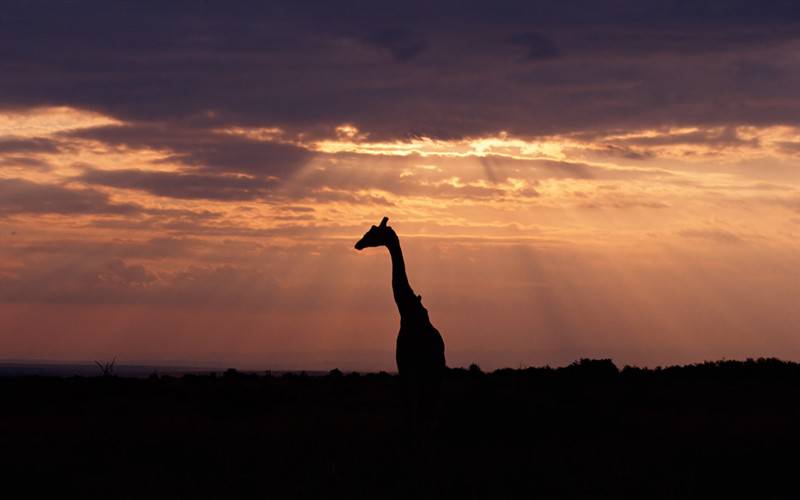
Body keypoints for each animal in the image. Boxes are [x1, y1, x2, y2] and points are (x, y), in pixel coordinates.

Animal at [354, 216, 446, 422]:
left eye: (374, 232)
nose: (358, 244)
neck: (407, 311)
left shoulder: (408, 366)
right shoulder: (407, 368)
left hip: (432, 370)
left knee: (428, 405)